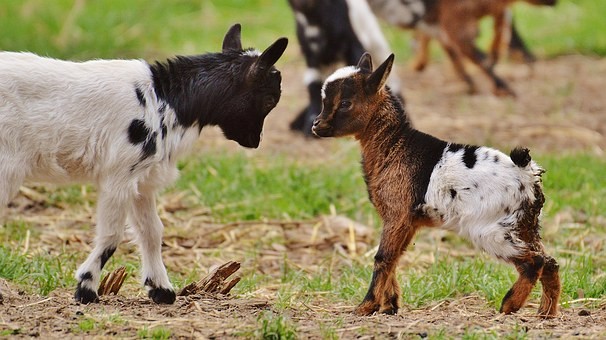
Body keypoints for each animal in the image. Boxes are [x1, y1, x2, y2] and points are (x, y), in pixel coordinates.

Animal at [0, 24, 290, 306]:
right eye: (269, 99)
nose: (255, 141)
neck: (163, 99)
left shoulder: (142, 181)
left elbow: (152, 231)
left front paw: (161, 289)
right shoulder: (119, 175)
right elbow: (112, 235)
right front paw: (86, 289)